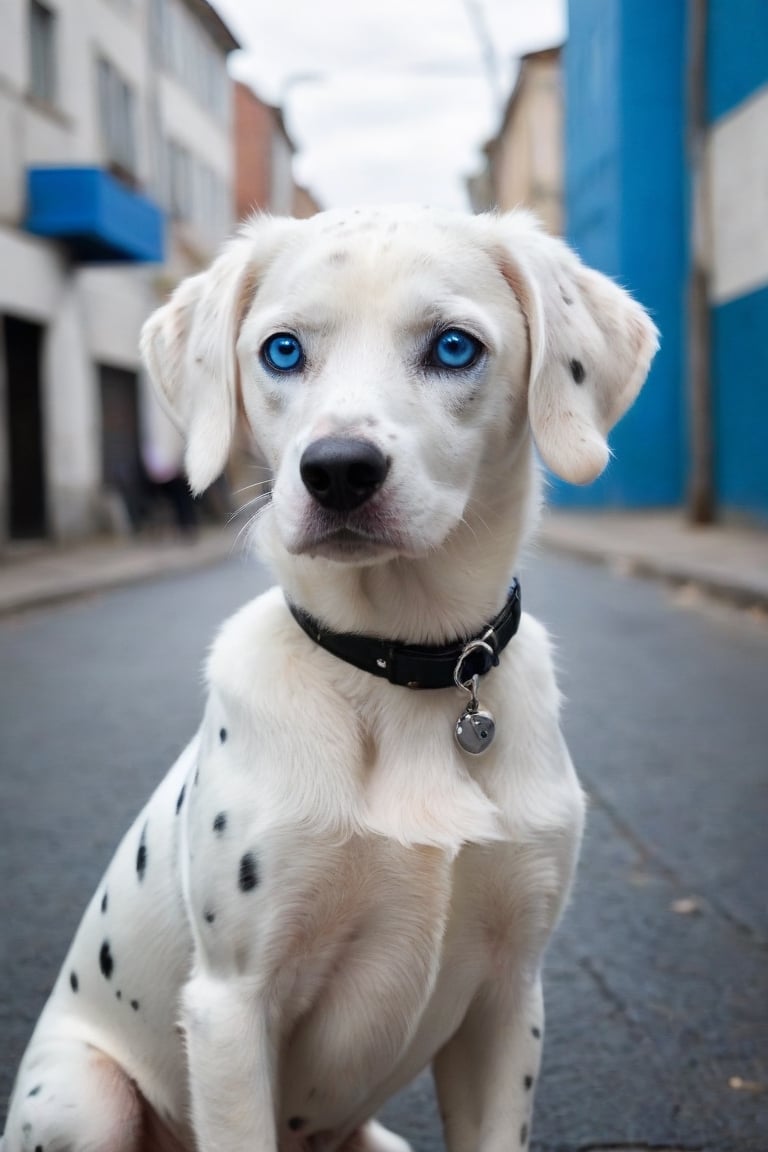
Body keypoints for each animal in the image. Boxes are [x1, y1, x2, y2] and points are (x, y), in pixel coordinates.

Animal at [3, 209, 658, 1152]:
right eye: (281, 351)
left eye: (454, 347)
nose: (339, 469)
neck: (405, 668)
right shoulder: (231, 1009)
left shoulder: (509, 1000)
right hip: (82, 1100)